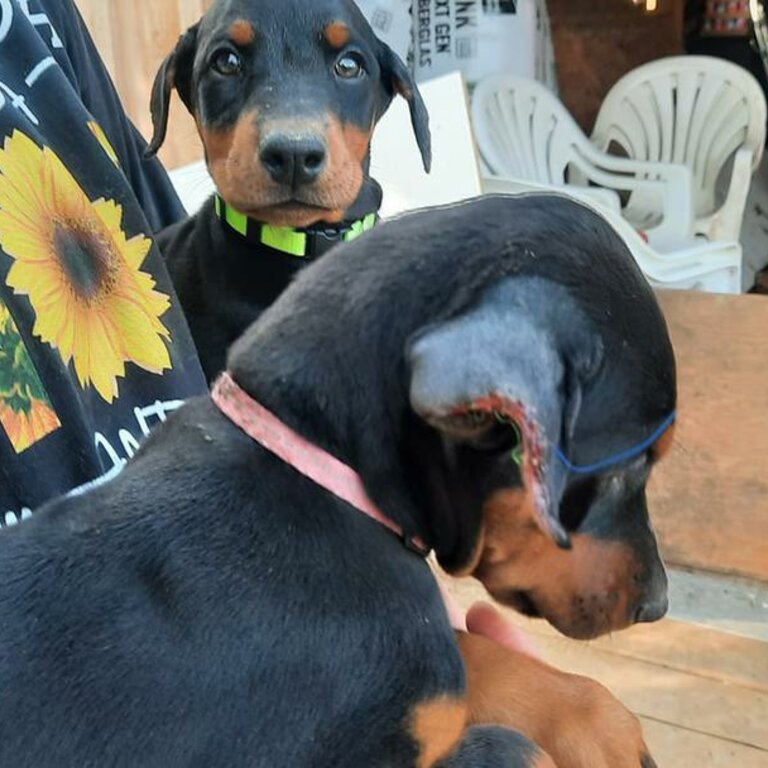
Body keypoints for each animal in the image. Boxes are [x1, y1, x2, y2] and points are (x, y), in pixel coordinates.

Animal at [0, 195, 672, 764]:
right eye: (629, 467)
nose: (659, 604)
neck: (315, 465)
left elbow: (471, 659)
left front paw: (595, 721)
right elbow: (508, 743)